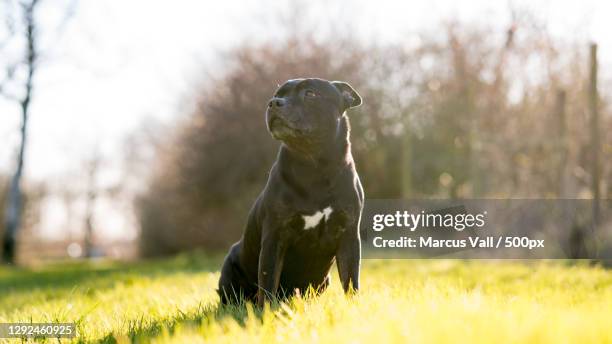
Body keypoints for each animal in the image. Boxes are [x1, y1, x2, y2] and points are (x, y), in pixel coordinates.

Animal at [219, 78, 364, 306]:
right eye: (277, 94)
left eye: (311, 94)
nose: (274, 103)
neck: (314, 166)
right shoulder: (274, 237)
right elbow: (268, 281)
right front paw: (266, 311)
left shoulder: (348, 236)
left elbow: (351, 280)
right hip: (229, 269)